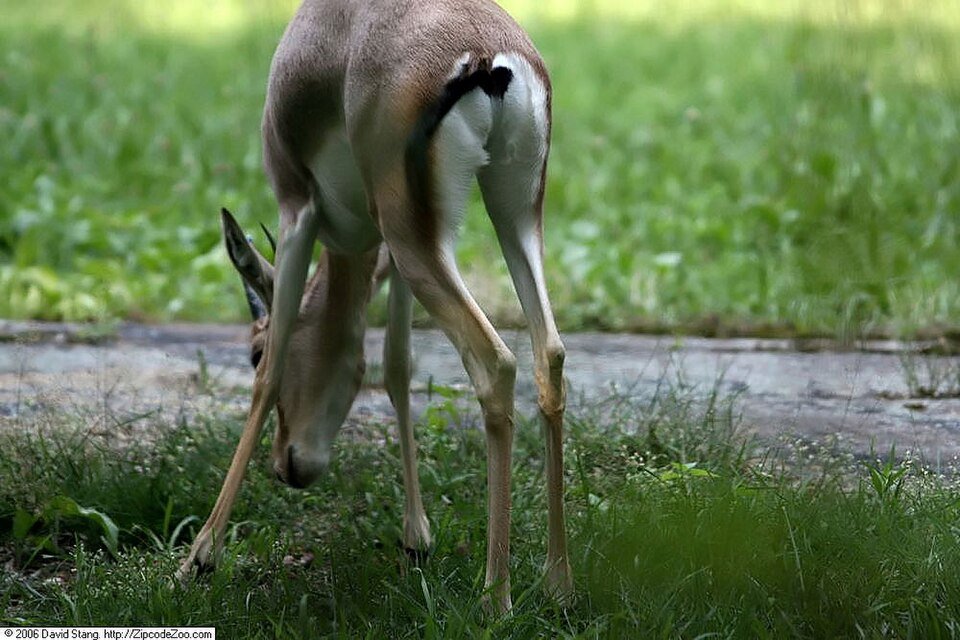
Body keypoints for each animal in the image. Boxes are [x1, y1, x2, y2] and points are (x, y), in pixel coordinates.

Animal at [177, 0, 570, 612]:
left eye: (251, 350)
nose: (286, 464)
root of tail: (488, 55)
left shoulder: (299, 211)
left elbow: (271, 377)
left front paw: (199, 556)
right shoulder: (389, 248)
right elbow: (397, 366)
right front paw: (417, 537)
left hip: (421, 238)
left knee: (495, 362)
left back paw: (495, 598)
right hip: (504, 218)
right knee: (547, 352)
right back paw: (557, 586)